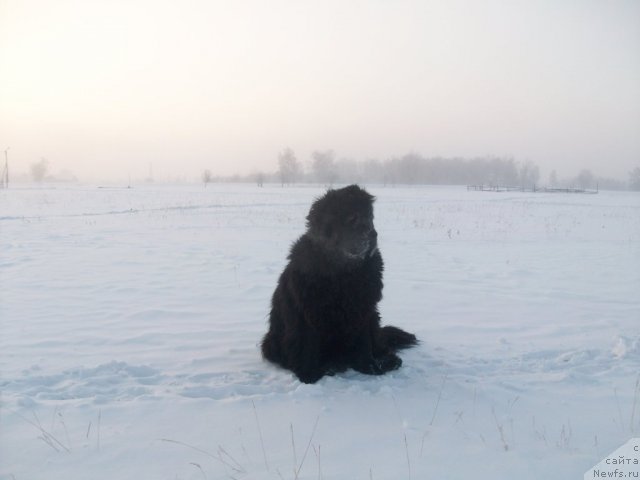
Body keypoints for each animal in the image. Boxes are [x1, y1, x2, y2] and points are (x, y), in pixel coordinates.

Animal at [262, 184, 418, 382]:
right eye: (352, 219)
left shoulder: (363, 310)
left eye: (370, 217)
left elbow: (364, 343)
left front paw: (370, 367)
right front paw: (309, 375)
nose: (373, 234)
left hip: (375, 321)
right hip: (272, 341)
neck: (342, 272)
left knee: (379, 344)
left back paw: (388, 360)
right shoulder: (307, 312)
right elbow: (308, 344)